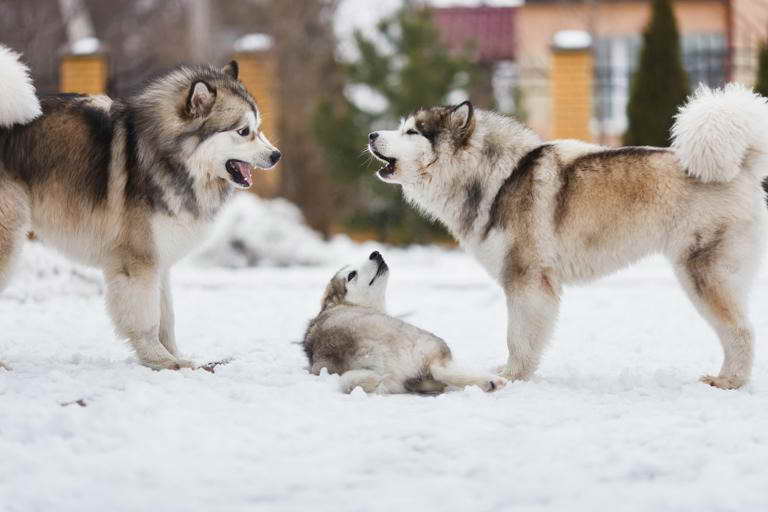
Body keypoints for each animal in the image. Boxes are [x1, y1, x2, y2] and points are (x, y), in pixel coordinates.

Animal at [0, 46, 280, 370]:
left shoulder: (159, 258)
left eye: (258, 128)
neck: (166, 154)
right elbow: (147, 319)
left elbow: (166, 318)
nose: (276, 155)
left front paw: (175, 357)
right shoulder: (137, 260)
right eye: (243, 131)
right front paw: (159, 359)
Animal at [368, 86, 768, 390]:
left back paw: (728, 381)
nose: (371, 135)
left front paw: (514, 376)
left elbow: (518, 336)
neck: (497, 177)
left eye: (412, 132)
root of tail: (741, 166)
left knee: (741, 331)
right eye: (402, 127)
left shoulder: (527, 278)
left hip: (702, 274)